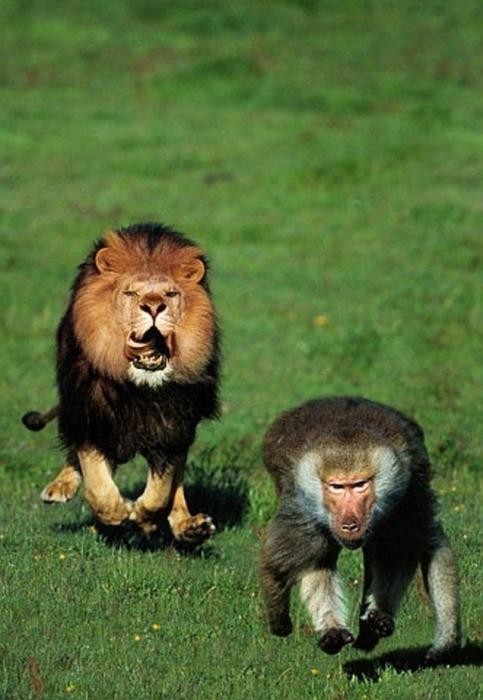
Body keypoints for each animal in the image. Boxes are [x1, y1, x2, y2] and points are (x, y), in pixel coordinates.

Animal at [22, 222, 220, 544]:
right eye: (130, 293)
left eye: (171, 293)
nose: (154, 307)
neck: (138, 388)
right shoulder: (91, 414)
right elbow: (98, 486)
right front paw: (118, 512)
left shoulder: (173, 424)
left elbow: (162, 491)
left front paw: (143, 517)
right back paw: (60, 487)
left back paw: (190, 526)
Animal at [260, 396, 461, 662]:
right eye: (336, 487)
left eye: (359, 485)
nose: (350, 523)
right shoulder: (302, 508)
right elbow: (279, 564)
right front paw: (280, 620)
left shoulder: (408, 497)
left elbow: (429, 549)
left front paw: (446, 642)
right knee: (321, 557)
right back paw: (335, 630)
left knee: (391, 550)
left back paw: (375, 623)